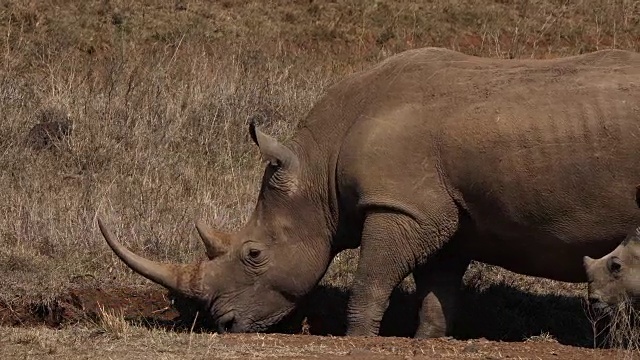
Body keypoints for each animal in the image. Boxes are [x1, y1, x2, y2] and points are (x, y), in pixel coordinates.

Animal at [95, 47, 640, 338]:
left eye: (253, 254)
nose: (223, 324)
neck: (316, 172)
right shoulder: (439, 211)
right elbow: (437, 287)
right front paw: (426, 340)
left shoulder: (400, 207)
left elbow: (372, 278)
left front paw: (356, 335)